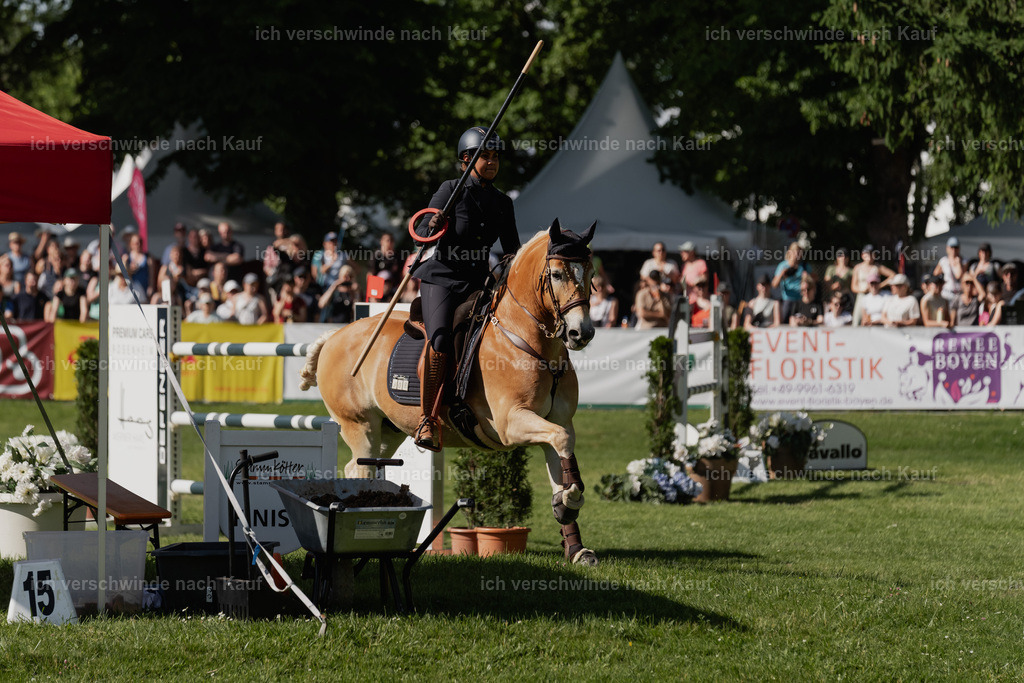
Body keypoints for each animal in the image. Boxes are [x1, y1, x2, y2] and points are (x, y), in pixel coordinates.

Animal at [300, 219, 599, 564]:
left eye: (591, 274)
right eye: (558, 274)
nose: (581, 333)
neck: (527, 340)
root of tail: (335, 336)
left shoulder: (557, 421)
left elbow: (562, 457)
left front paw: (574, 541)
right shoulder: (511, 423)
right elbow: (561, 448)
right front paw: (570, 500)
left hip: (388, 431)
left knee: (363, 468)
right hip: (360, 426)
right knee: (359, 466)